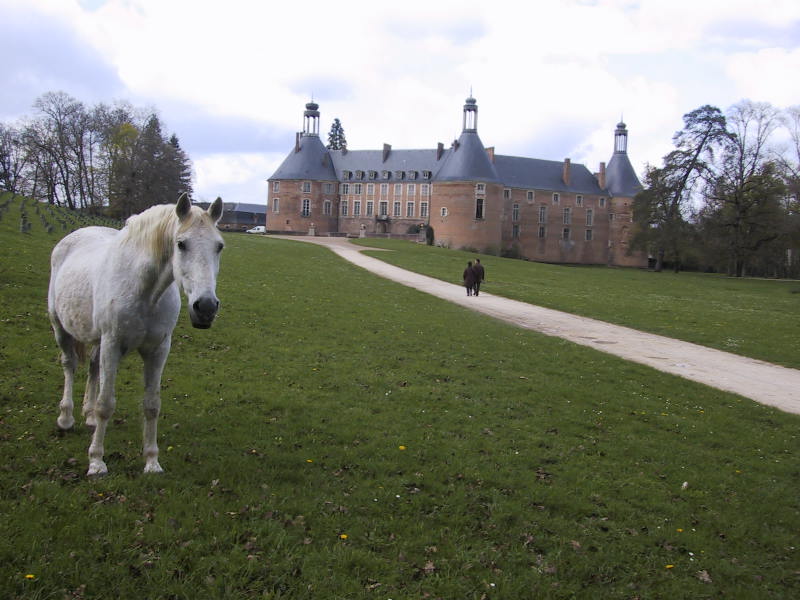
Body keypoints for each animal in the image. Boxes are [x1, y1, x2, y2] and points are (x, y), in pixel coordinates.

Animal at [48, 195, 224, 476]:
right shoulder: (112, 344)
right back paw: (66, 418)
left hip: (98, 341)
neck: (144, 291)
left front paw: (152, 461)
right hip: (61, 328)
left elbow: (151, 405)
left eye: (219, 246)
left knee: (92, 368)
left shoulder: (158, 349)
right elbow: (106, 404)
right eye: (181, 244)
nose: (205, 307)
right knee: (69, 365)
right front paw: (96, 461)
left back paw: (88, 416)